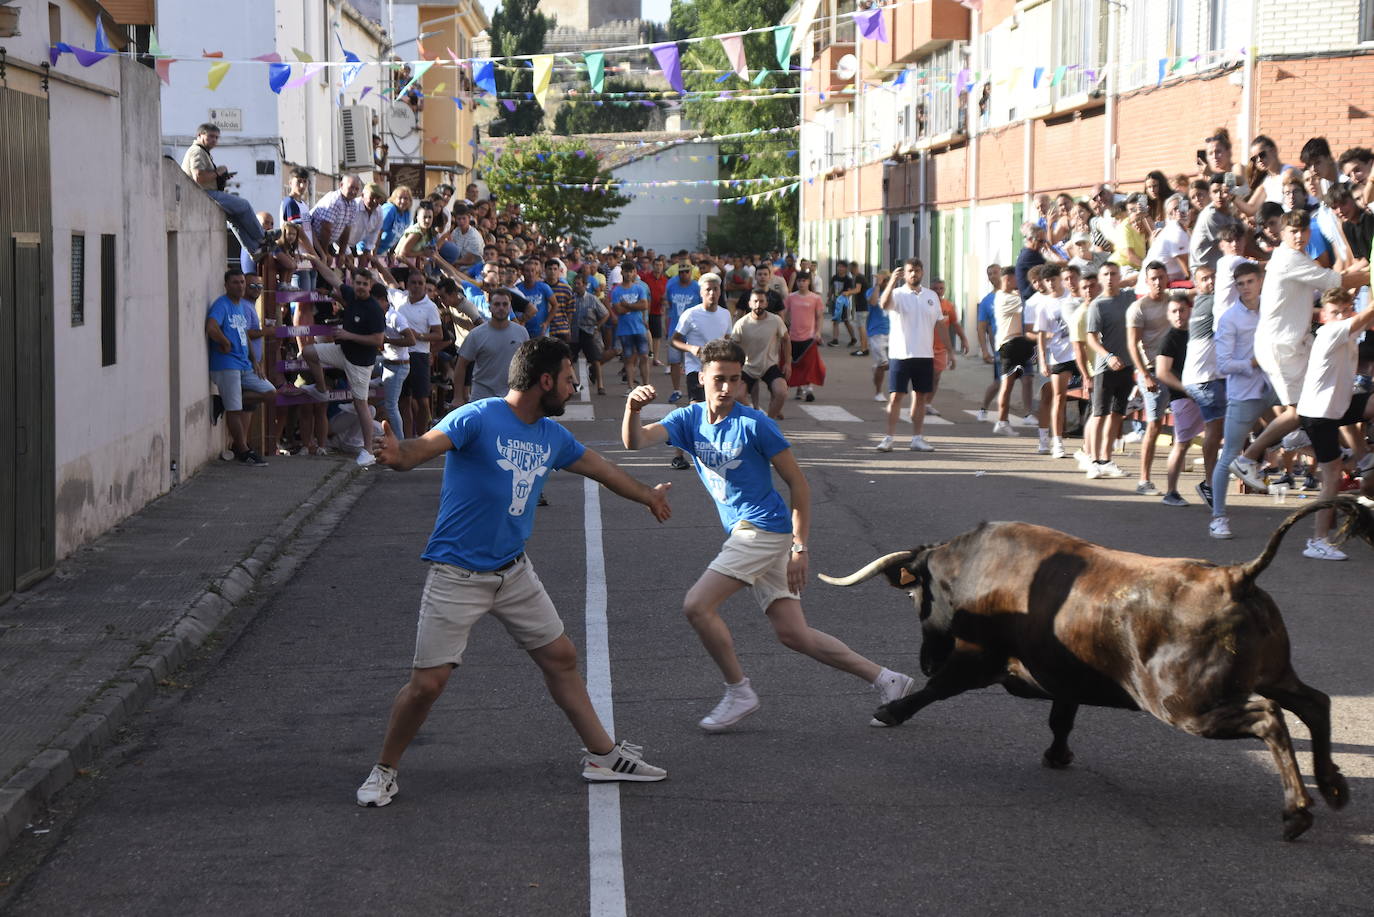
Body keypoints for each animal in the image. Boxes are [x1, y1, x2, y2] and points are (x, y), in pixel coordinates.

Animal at [818, 497, 1368, 841]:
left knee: (1270, 718)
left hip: (1187, 705)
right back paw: (1332, 785)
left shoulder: (979, 659)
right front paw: (1058, 754)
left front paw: (890, 712)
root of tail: (1236, 577)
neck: (975, 569)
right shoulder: (1062, 677)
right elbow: (1061, 717)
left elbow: (938, 688)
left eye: (915, 595)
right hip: (1272, 673)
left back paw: (1297, 813)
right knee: (1314, 703)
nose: (925, 657)